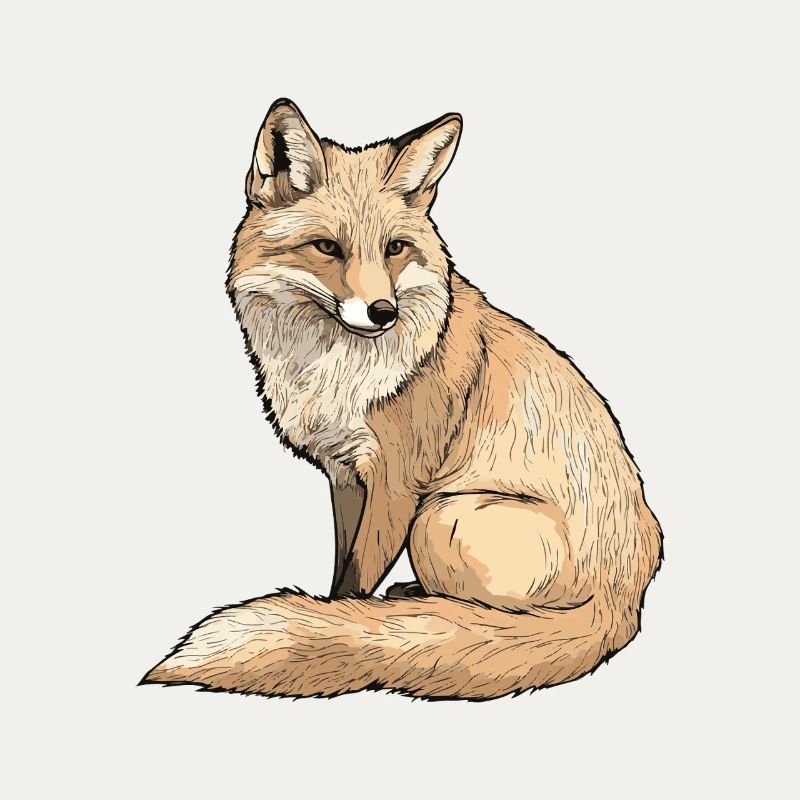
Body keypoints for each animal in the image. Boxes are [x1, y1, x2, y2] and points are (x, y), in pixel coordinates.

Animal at [142, 98, 662, 699]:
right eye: (327, 247)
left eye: (394, 248)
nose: (382, 312)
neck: (336, 372)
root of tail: (626, 602)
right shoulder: (345, 476)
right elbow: (343, 571)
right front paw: (339, 616)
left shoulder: (398, 482)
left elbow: (358, 582)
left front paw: (343, 628)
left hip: (440, 516)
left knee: (499, 619)